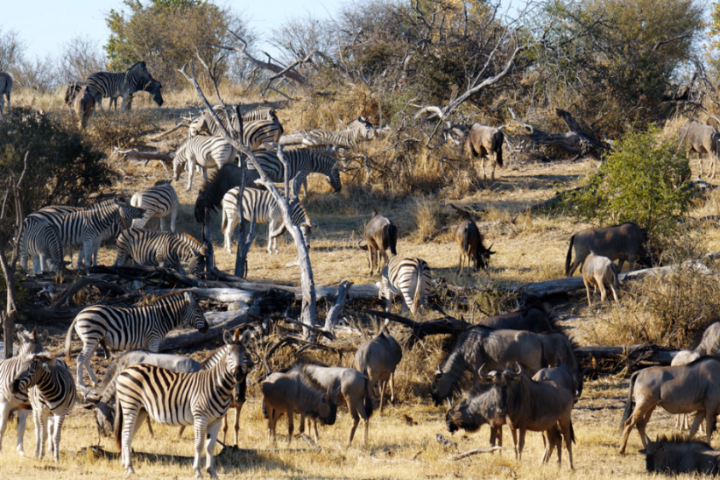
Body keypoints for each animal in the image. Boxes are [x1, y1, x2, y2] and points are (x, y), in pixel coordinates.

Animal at [64, 291, 208, 387]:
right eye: (198, 311)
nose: (207, 328)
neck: (162, 317)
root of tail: (79, 314)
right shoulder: (154, 338)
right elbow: (155, 358)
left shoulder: (148, 341)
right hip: (91, 337)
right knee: (81, 358)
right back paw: (81, 383)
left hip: (92, 339)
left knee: (86, 359)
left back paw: (94, 381)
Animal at [114, 329, 253, 477]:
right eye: (229, 355)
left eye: (245, 355)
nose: (238, 375)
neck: (216, 385)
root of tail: (125, 370)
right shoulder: (200, 417)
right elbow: (199, 444)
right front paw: (197, 471)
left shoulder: (217, 420)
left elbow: (210, 446)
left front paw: (211, 471)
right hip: (130, 406)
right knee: (127, 434)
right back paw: (129, 468)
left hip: (141, 410)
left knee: (125, 434)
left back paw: (124, 465)